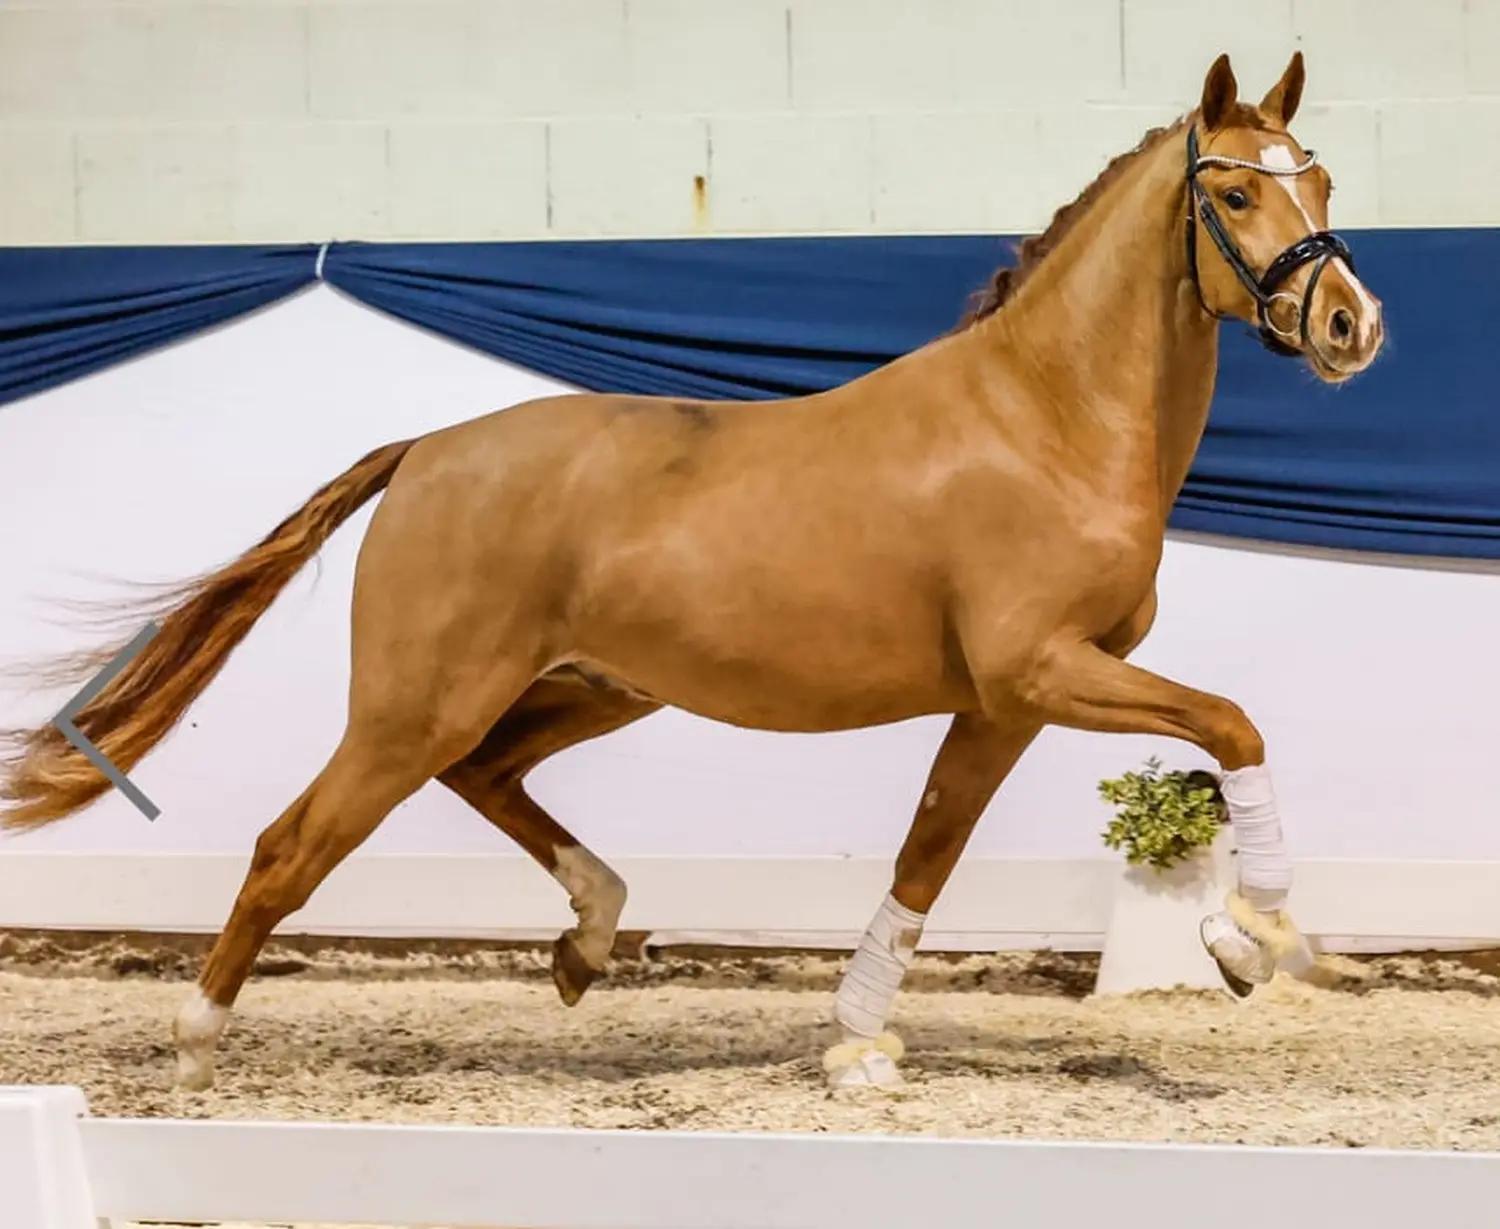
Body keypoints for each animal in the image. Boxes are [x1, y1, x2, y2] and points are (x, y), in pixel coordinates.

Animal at [0, 50, 1383, 1091]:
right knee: (294, 841)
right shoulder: (1043, 669)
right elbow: (1234, 723)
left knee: (486, 773)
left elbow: (927, 854)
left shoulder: (1004, 702)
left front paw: (858, 1044)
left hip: (589, 688)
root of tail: (425, 453)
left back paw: (587, 939)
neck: (1043, 419)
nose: (1350, 325)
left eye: (1317, 176)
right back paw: (196, 1044)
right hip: (415, 703)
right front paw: (1251, 937)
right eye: (1236, 196)